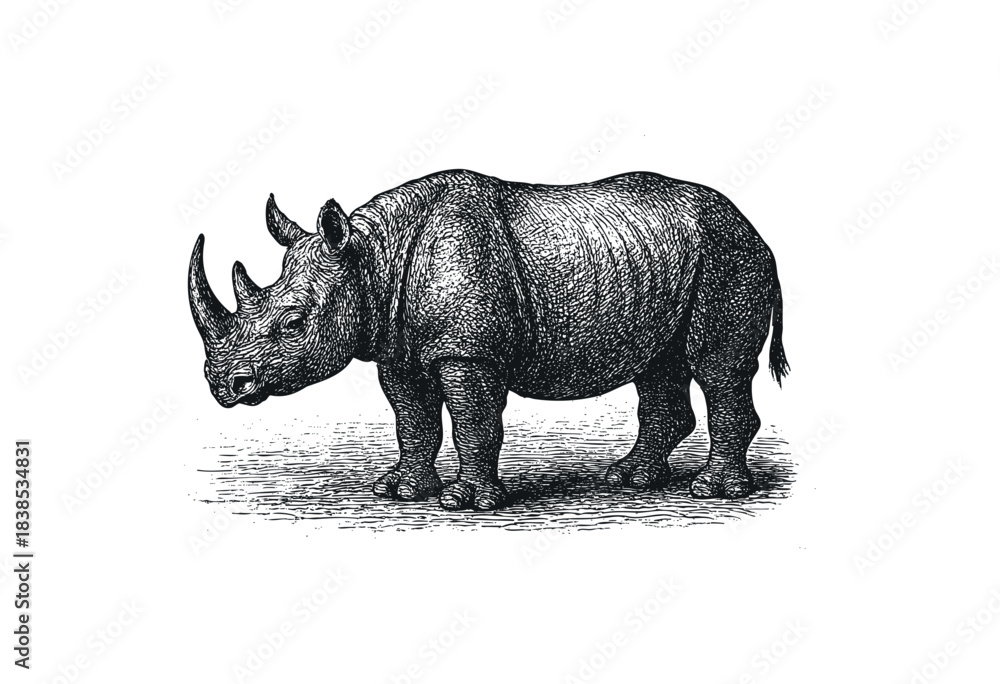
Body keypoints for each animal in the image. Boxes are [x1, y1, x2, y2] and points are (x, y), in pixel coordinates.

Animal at [189, 170, 788, 511]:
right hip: (664, 263)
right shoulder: (398, 348)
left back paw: (713, 491)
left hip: (728, 257)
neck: (372, 259)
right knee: (659, 366)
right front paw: (400, 490)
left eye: (293, 325)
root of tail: (755, 229)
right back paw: (630, 479)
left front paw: (467, 502)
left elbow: (473, 422)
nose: (222, 385)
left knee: (716, 367)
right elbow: (415, 422)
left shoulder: (468, 353)